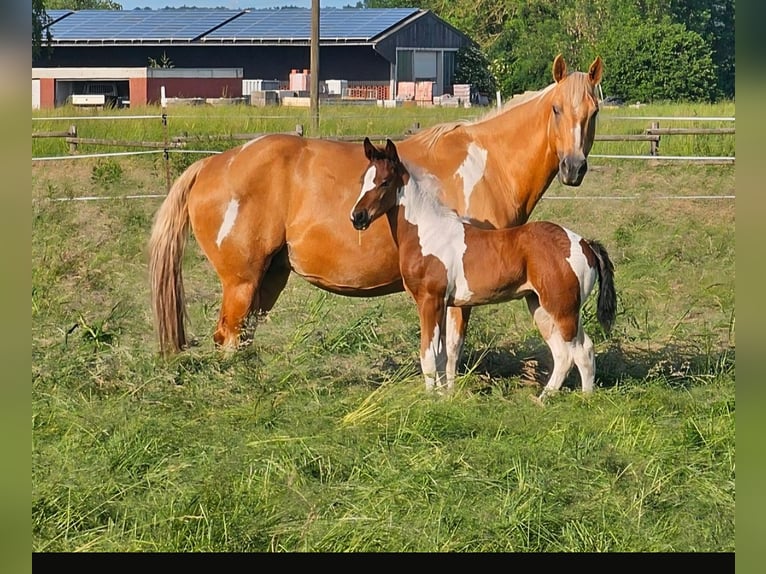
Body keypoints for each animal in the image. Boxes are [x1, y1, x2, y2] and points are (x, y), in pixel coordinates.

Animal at [149, 54, 603, 357]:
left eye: (593, 112)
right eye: (556, 109)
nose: (574, 167)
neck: (487, 162)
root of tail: (211, 164)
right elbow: (451, 347)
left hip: (268, 279)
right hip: (241, 282)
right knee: (227, 337)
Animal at [351, 138, 616, 398]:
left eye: (384, 182)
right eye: (363, 180)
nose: (357, 217)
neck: (427, 232)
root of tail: (585, 243)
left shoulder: (430, 300)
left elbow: (428, 355)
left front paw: (430, 399)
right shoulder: (443, 304)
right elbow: (441, 356)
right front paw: (444, 397)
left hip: (562, 308)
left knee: (580, 351)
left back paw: (578, 399)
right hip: (545, 306)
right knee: (567, 352)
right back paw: (551, 399)